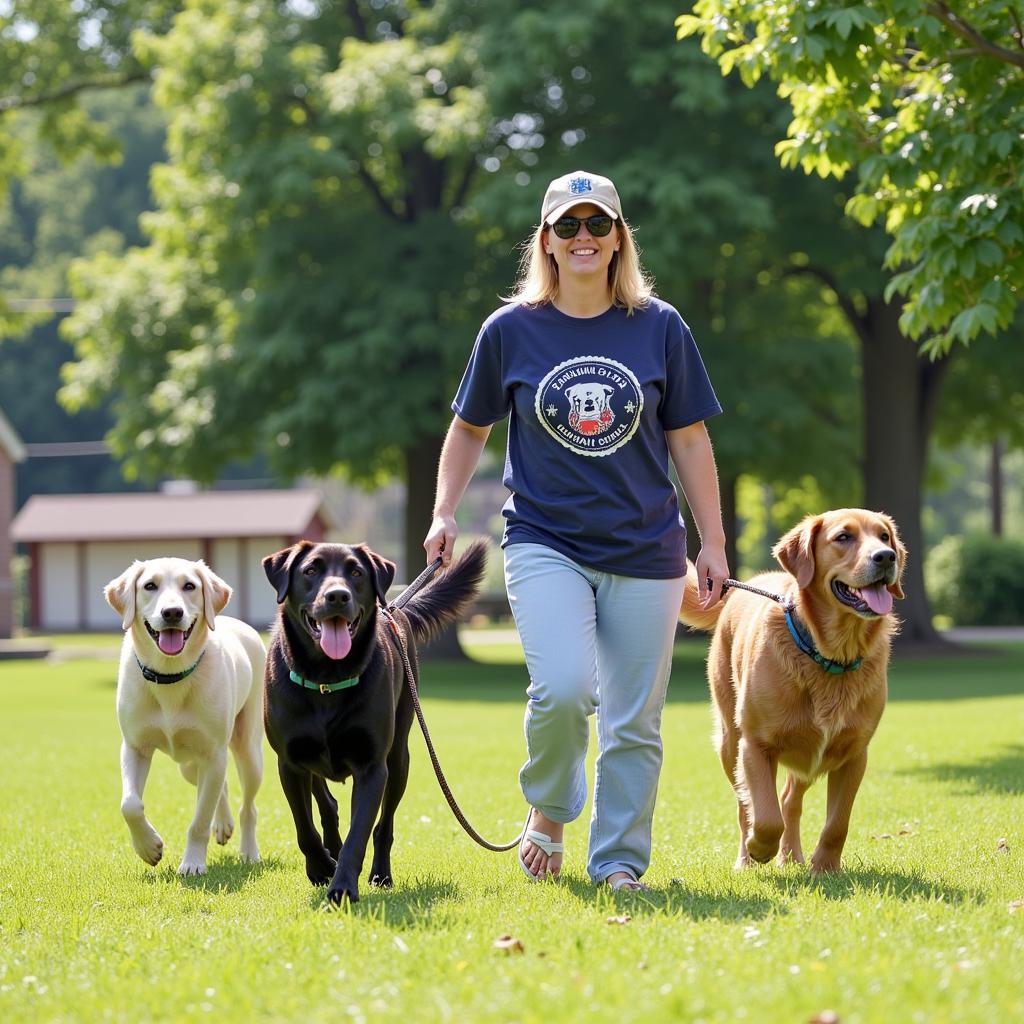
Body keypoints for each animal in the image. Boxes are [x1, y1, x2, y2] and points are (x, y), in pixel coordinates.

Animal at [102, 557, 264, 876]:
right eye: (149, 585)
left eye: (189, 586)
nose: (172, 612)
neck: (170, 675)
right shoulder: (134, 747)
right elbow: (129, 804)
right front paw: (148, 847)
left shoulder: (213, 751)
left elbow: (199, 821)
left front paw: (192, 863)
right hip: (188, 766)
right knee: (217, 785)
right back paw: (223, 824)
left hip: (248, 749)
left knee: (247, 805)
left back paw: (249, 851)